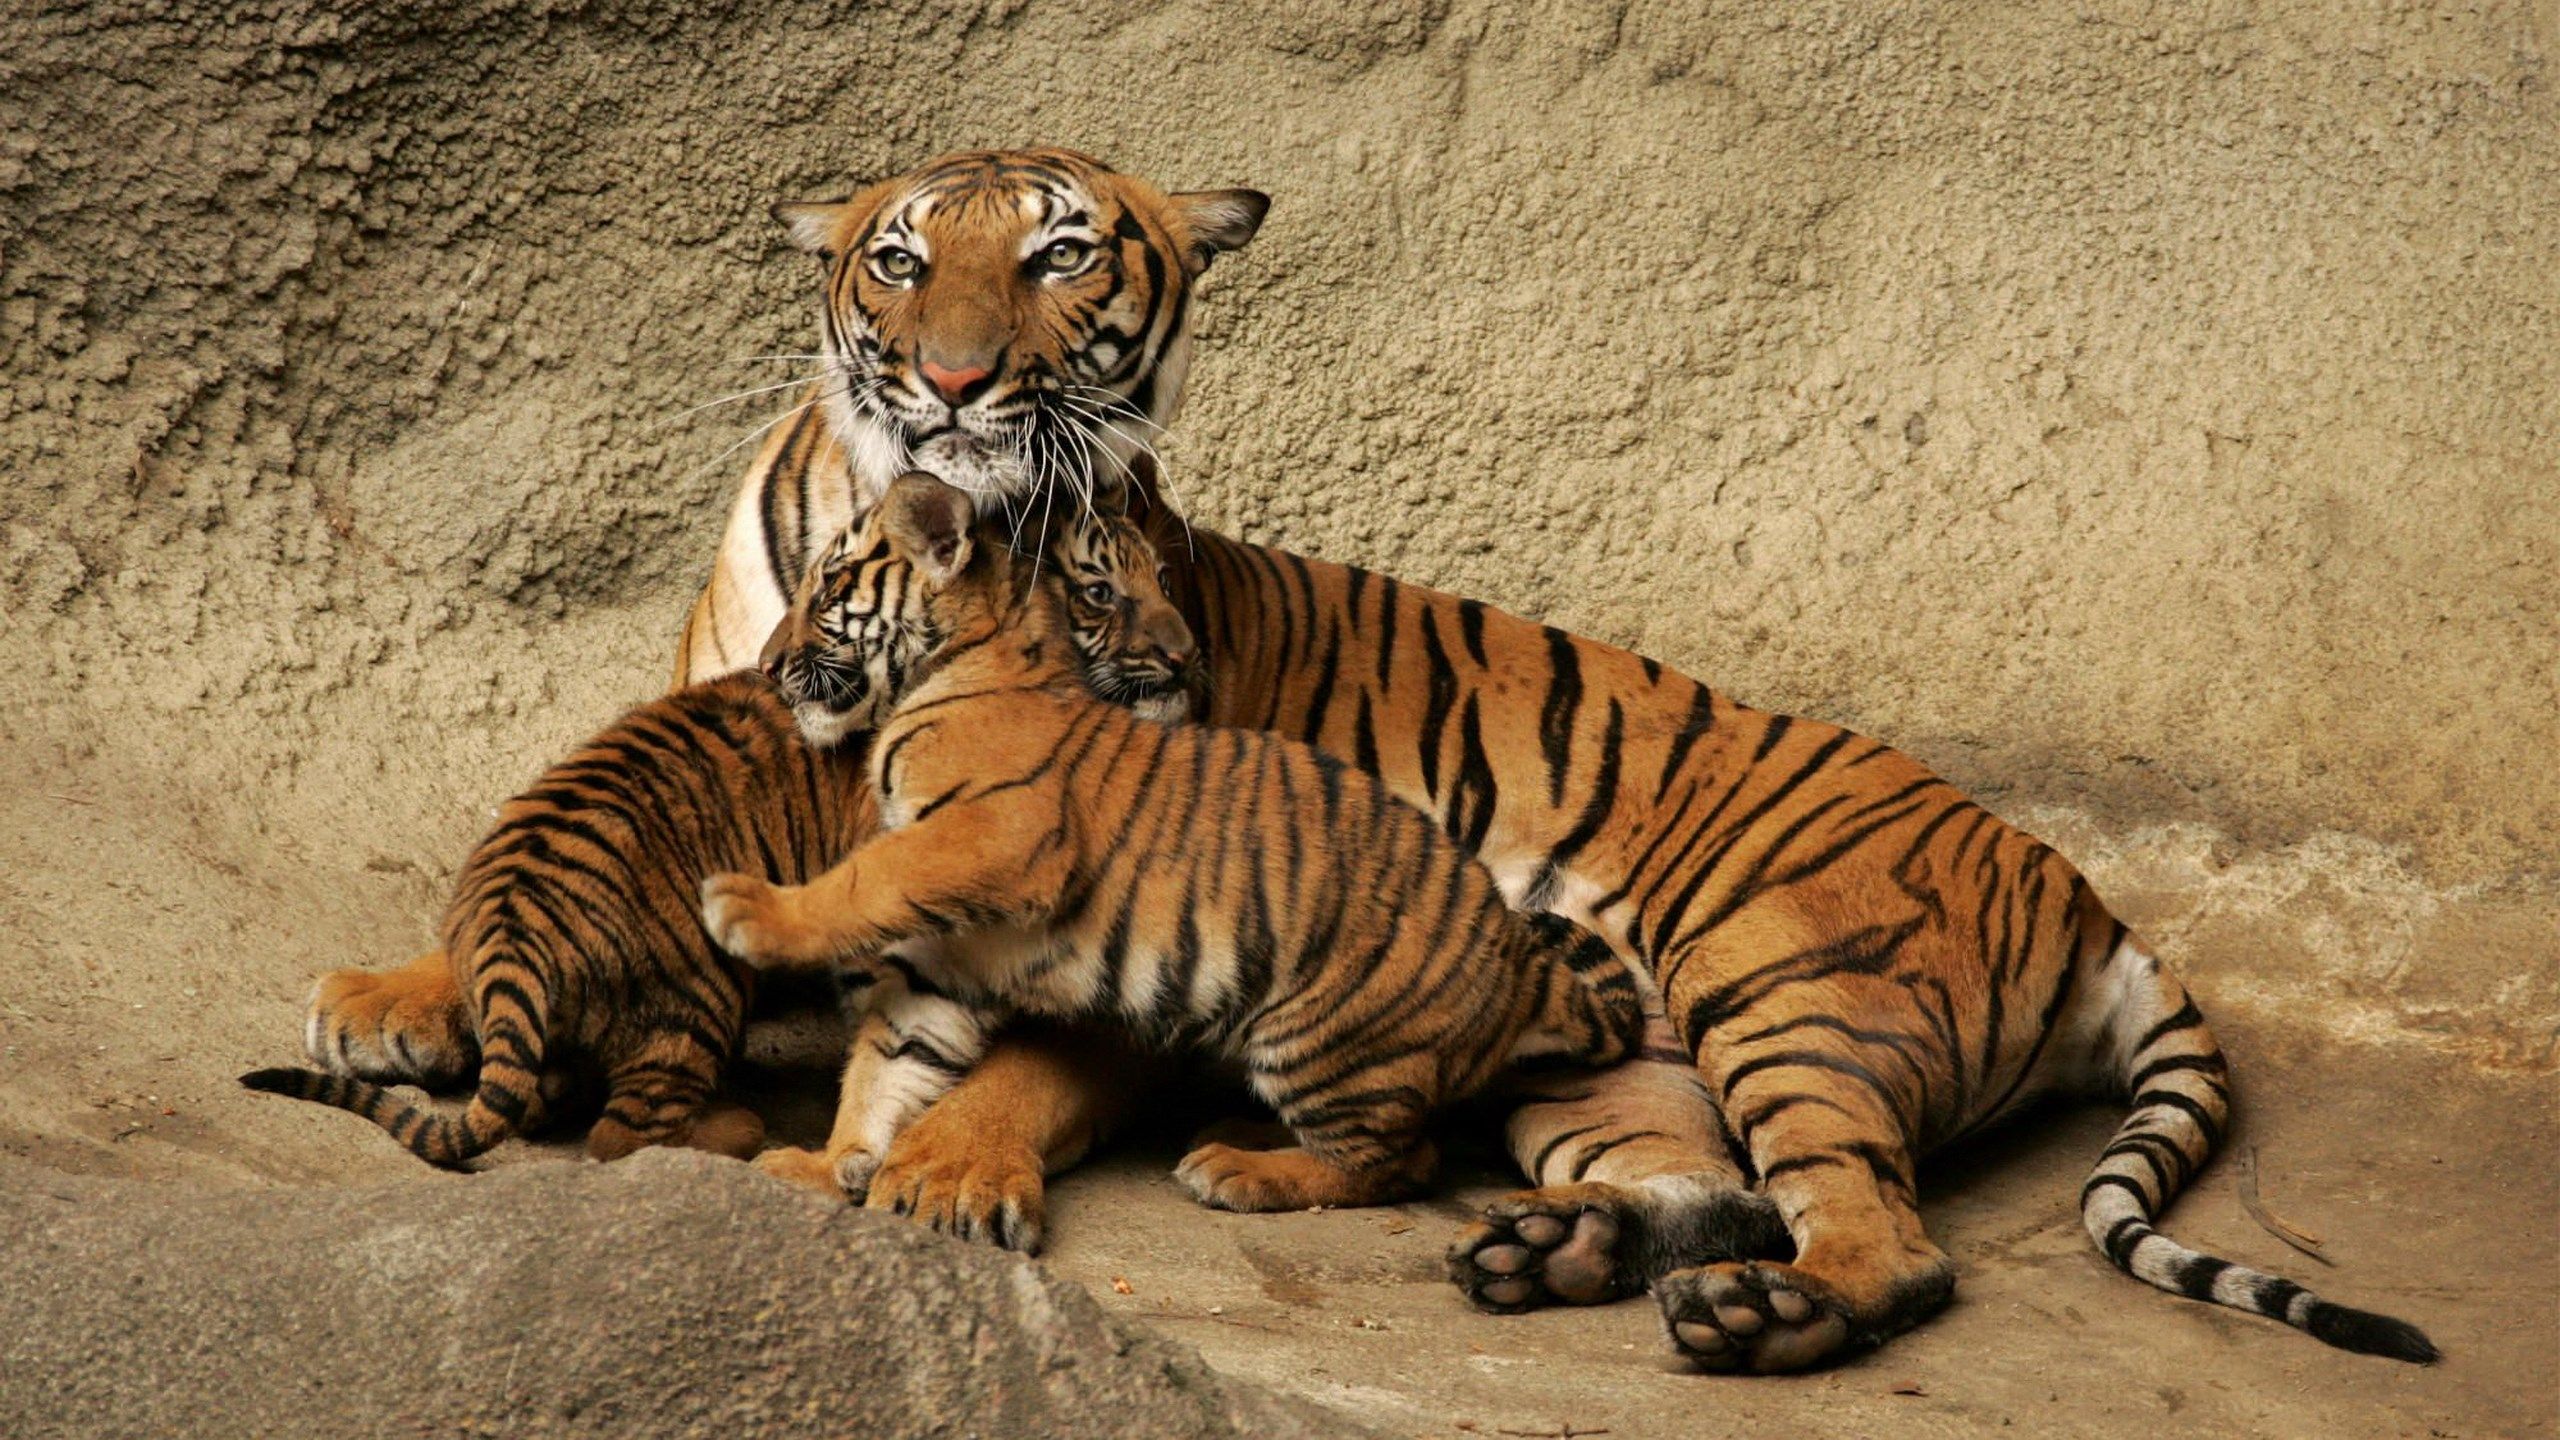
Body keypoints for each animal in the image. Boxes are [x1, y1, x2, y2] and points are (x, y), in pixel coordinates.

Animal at [248, 490, 1197, 1168]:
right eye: (1100, 591)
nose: (1181, 658)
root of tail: (515, 925)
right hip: (696, 997)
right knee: (620, 1136)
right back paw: (738, 1130)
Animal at [698, 472, 1652, 1215]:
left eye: (829, 587)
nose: (770, 665)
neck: (961, 662)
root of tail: (1521, 965)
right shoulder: (950, 951)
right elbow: (889, 1060)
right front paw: (825, 1164)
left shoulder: (992, 836)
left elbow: (867, 880)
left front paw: (745, 910)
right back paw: (1238, 1133)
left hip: (1320, 1035)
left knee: (1400, 1161)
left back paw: (1238, 1169)